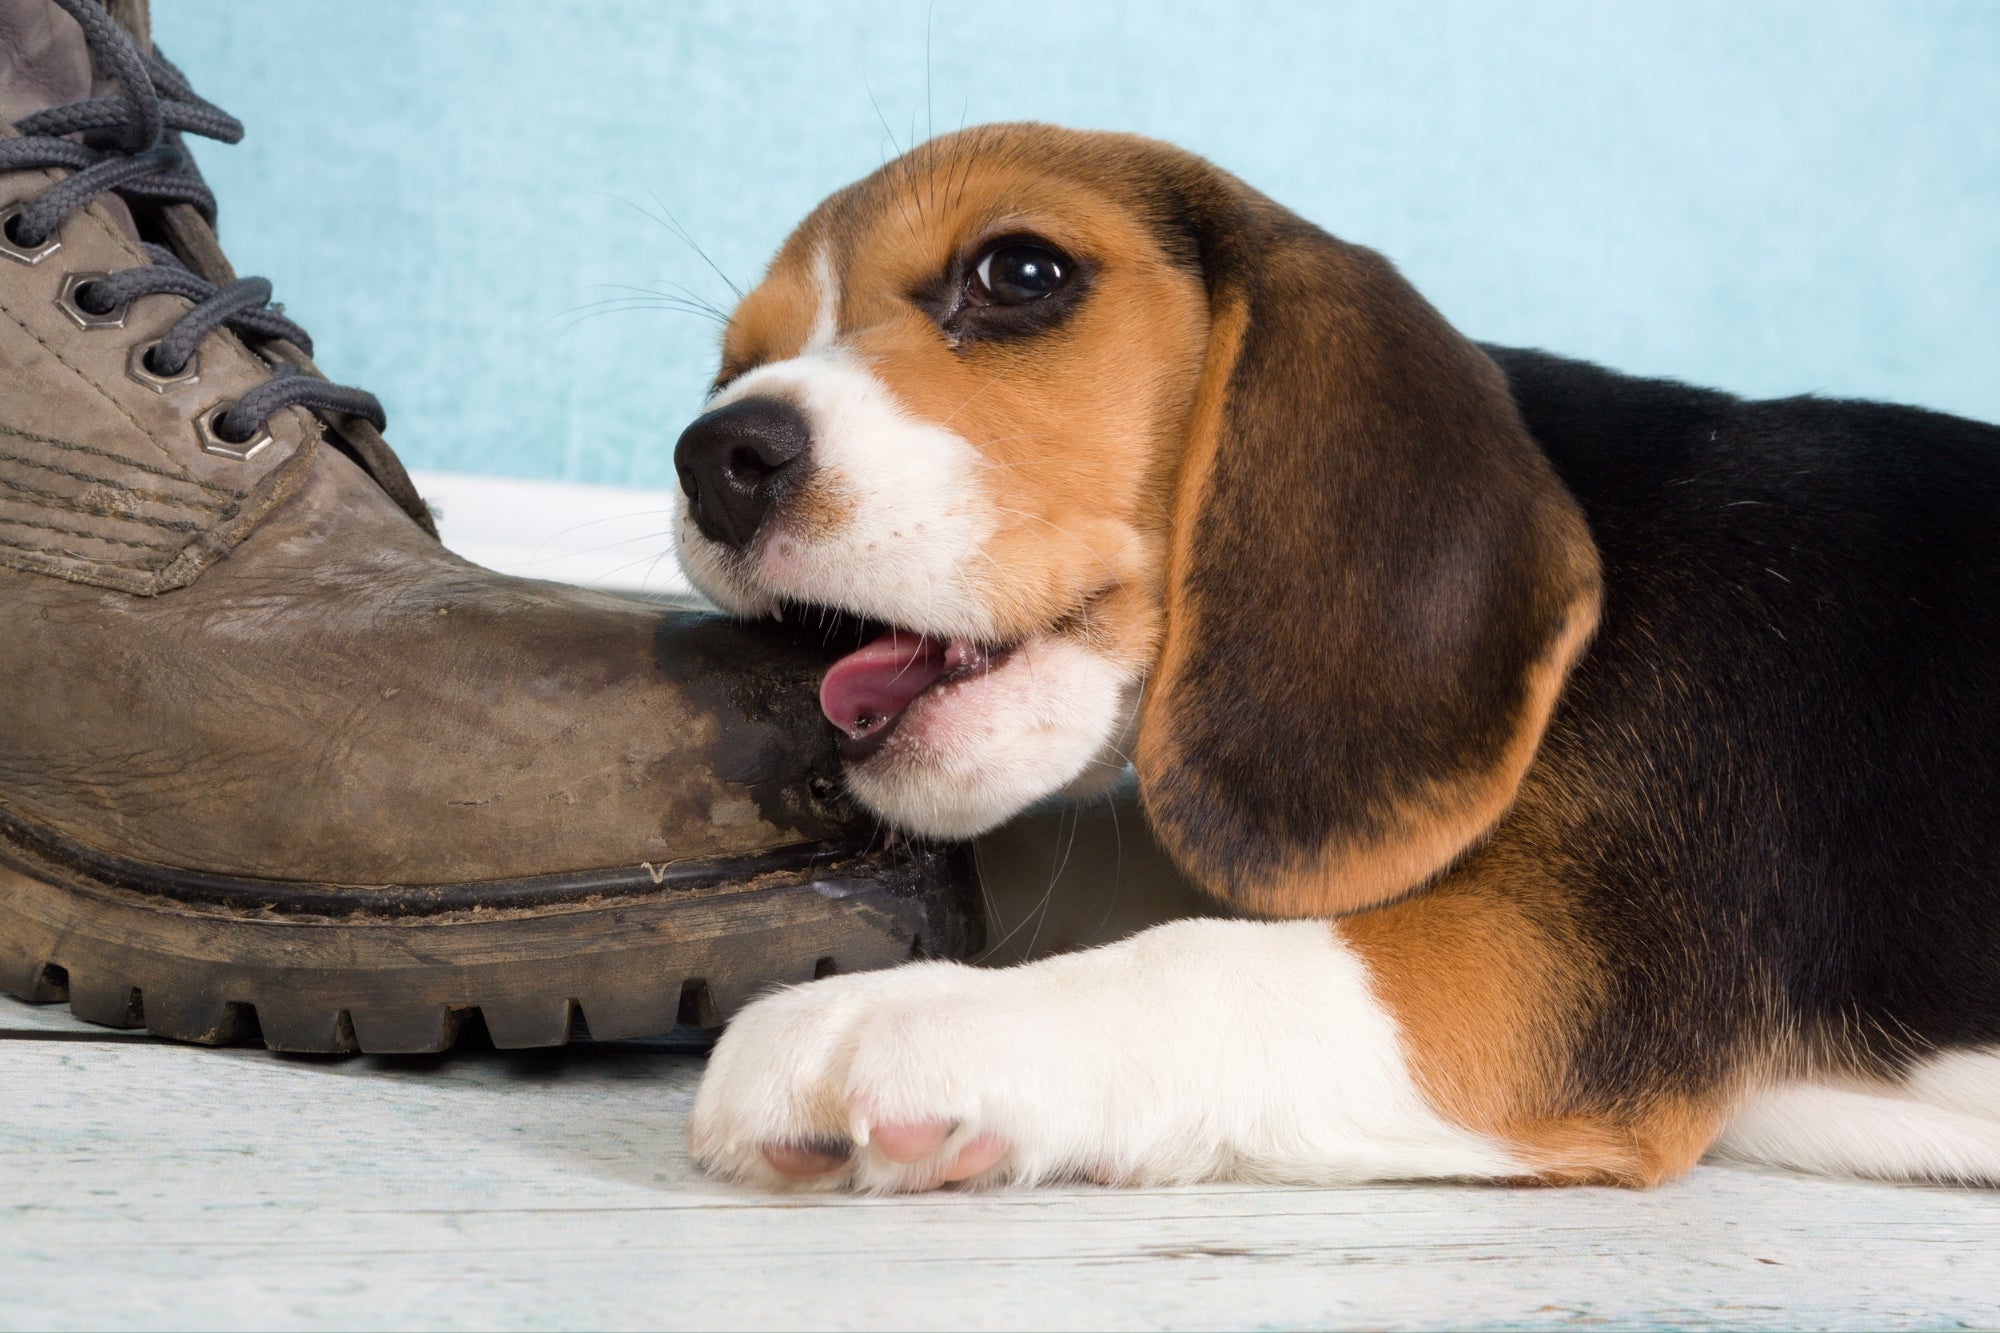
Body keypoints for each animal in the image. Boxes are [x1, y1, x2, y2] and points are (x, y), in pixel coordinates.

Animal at [668, 122, 2000, 1184]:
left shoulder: (1544, 970)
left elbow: (1201, 962)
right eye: (731, 366)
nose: (713, 458)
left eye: (1020, 271)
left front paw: (896, 1020)